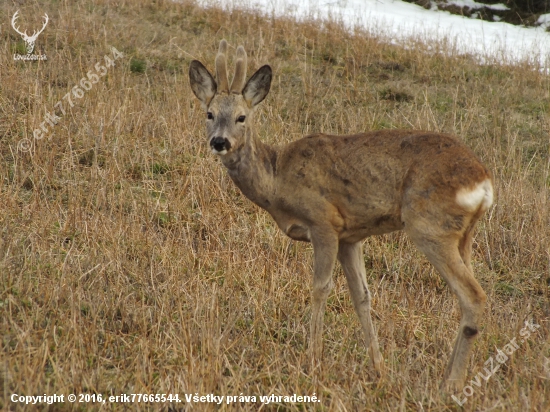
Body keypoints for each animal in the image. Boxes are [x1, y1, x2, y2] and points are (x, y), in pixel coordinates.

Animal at [190, 38, 496, 390]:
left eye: (242, 117)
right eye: (209, 113)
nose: (219, 142)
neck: (277, 180)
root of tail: (483, 181)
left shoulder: (324, 222)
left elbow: (319, 288)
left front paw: (313, 362)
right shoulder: (351, 236)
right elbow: (362, 296)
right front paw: (378, 368)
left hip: (430, 227)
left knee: (473, 295)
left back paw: (450, 384)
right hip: (463, 235)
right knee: (466, 296)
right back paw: (447, 374)